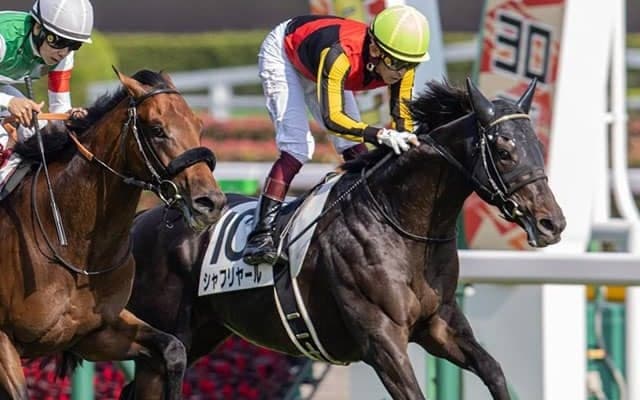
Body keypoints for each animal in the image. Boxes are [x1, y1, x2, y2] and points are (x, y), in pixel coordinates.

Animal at [0, 68, 226, 400]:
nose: (211, 202)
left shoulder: (94, 333)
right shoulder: (3, 341)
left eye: (198, 125)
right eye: (157, 129)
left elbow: (174, 349)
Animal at [124, 78, 565, 399]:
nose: (553, 223)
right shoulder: (382, 340)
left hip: (204, 333)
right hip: (168, 336)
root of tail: (142, 217)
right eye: (504, 151)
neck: (397, 224)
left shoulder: (439, 324)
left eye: (537, 146)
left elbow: (493, 370)